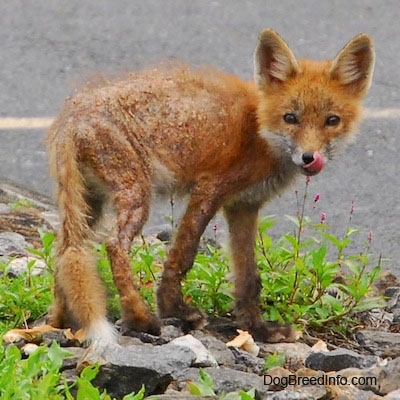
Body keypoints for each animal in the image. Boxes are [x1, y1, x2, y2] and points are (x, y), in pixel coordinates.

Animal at [46, 29, 376, 346]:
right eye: (290, 118)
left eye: (332, 120)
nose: (310, 158)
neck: (259, 132)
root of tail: (71, 116)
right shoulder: (210, 189)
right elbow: (182, 256)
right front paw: (174, 309)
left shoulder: (244, 206)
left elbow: (248, 278)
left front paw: (257, 330)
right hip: (135, 195)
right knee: (113, 246)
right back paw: (140, 318)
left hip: (90, 206)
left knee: (67, 251)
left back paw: (62, 321)